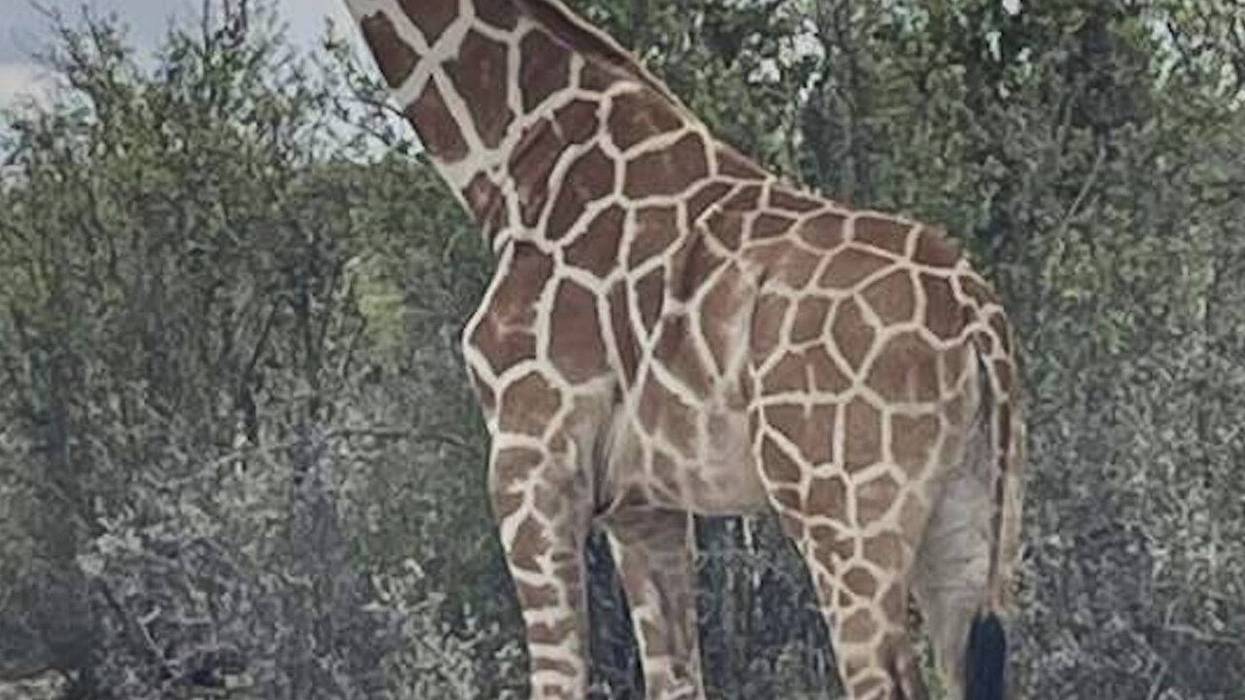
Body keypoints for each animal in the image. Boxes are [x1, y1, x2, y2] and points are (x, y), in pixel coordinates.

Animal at [341, 1, 1025, 698]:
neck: (519, 165)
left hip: (845, 516)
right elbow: (676, 677)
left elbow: (558, 677)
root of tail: (978, 319)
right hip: (971, 519)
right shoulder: (643, 504)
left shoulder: (529, 462)